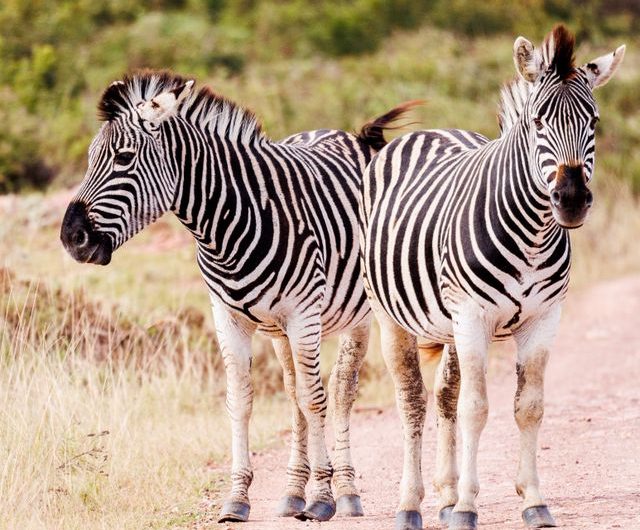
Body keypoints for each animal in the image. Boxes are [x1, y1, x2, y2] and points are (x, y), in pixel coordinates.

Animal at [60, 70, 414, 523]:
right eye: (90, 158)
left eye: (124, 158)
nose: (71, 238)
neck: (228, 225)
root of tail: (349, 135)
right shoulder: (228, 317)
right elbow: (242, 401)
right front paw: (238, 498)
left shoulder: (303, 314)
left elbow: (315, 399)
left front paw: (323, 496)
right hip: (280, 331)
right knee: (292, 391)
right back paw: (292, 493)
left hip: (358, 316)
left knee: (337, 391)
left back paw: (347, 492)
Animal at [359, 25, 624, 530]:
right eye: (537, 123)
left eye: (595, 122)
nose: (571, 200)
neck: (534, 235)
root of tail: (428, 132)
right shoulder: (472, 315)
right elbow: (476, 408)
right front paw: (467, 507)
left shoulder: (544, 319)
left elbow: (529, 407)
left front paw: (533, 500)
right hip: (394, 317)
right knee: (414, 401)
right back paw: (411, 503)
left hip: (447, 324)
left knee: (444, 395)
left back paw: (443, 496)